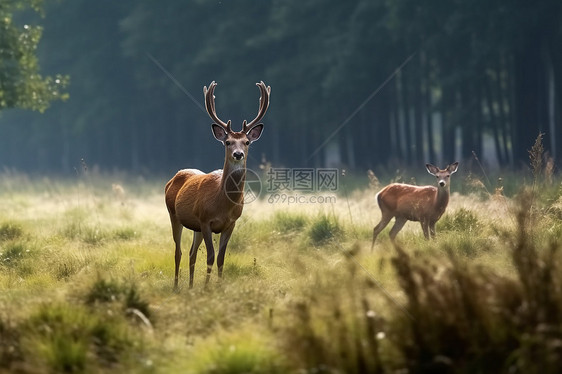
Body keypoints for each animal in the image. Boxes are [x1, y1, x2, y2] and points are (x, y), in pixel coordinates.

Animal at [164, 80, 270, 288]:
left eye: (246, 142)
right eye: (227, 142)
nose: (238, 154)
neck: (223, 204)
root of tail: (173, 178)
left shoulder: (231, 223)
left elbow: (221, 258)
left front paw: (219, 287)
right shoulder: (206, 220)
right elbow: (211, 257)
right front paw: (207, 288)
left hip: (195, 226)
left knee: (191, 253)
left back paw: (190, 286)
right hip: (174, 215)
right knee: (178, 252)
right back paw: (176, 286)